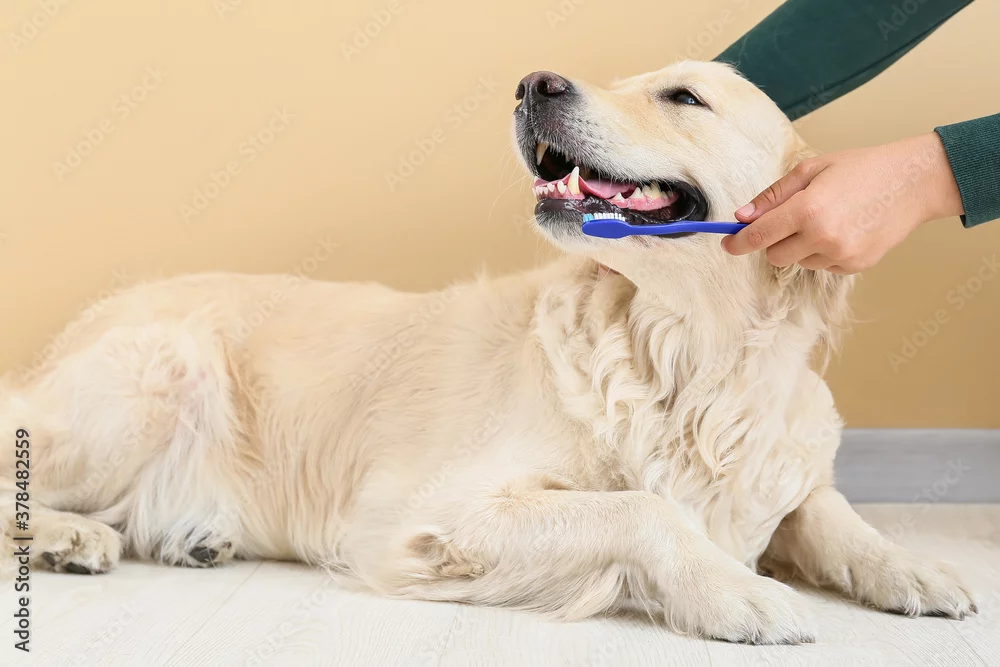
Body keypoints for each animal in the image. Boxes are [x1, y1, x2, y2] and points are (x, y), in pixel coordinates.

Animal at [1, 61, 975, 644]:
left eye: (683, 97)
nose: (535, 82)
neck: (687, 357)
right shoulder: (433, 511)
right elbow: (643, 509)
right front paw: (741, 591)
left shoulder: (781, 464)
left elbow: (831, 513)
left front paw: (916, 568)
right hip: (157, 372)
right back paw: (73, 537)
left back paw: (190, 537)